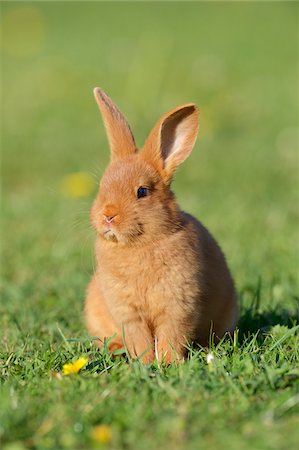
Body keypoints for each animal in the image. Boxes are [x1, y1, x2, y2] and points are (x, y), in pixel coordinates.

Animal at [85, 89, 239, 366]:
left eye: (142, 191)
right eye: (102, 186)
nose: (108, 215)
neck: (139, 244)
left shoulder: (178, 305)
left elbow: (171, 334)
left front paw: (168, 363)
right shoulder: (127, 311)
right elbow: (139, 338)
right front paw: (145, 363)